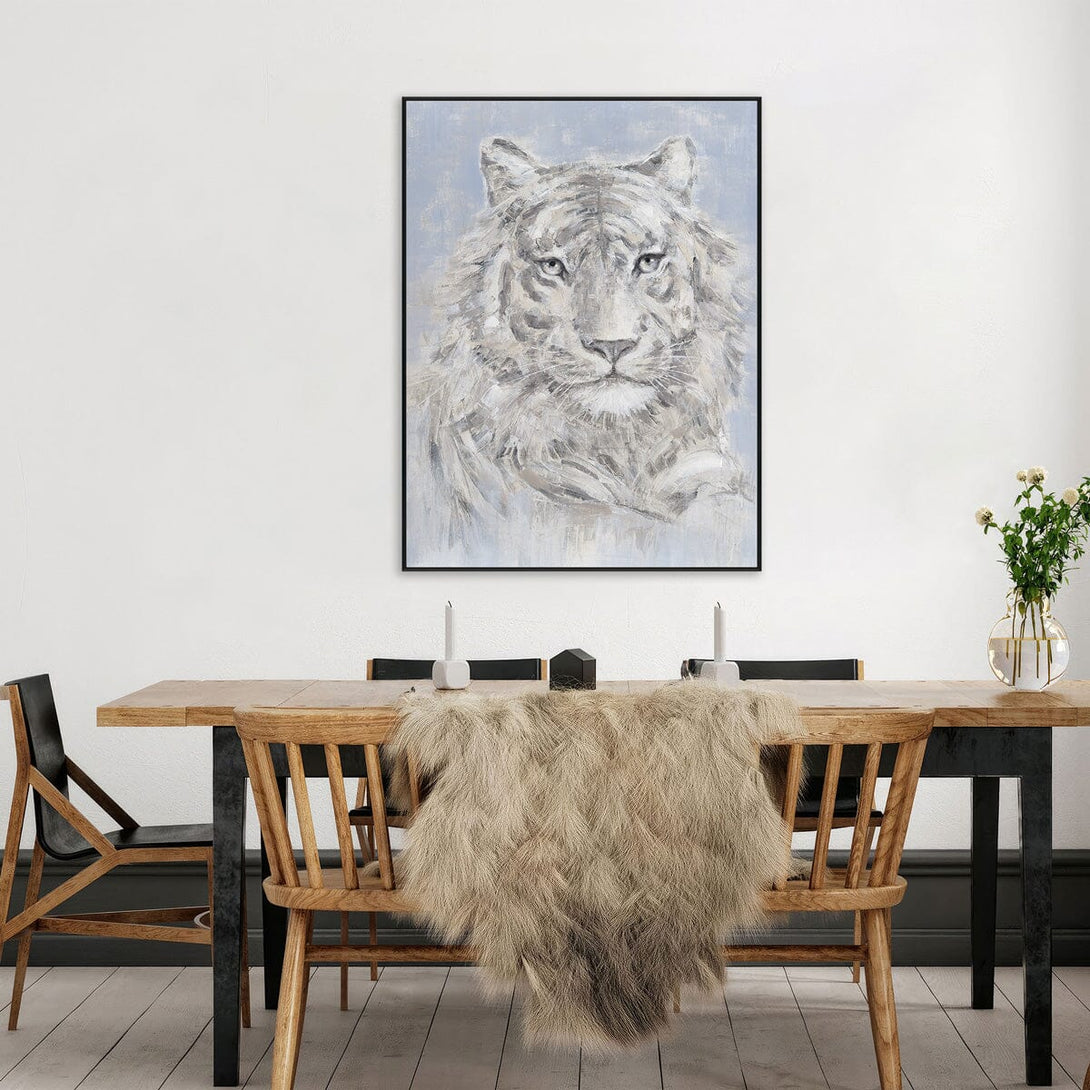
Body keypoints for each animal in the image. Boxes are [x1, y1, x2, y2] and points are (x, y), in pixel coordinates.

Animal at [407, 134, 754, 567]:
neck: (622, 445)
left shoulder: (705, 476)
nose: (612, 344)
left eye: (648, 262)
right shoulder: (562, 514)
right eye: (553, 266)